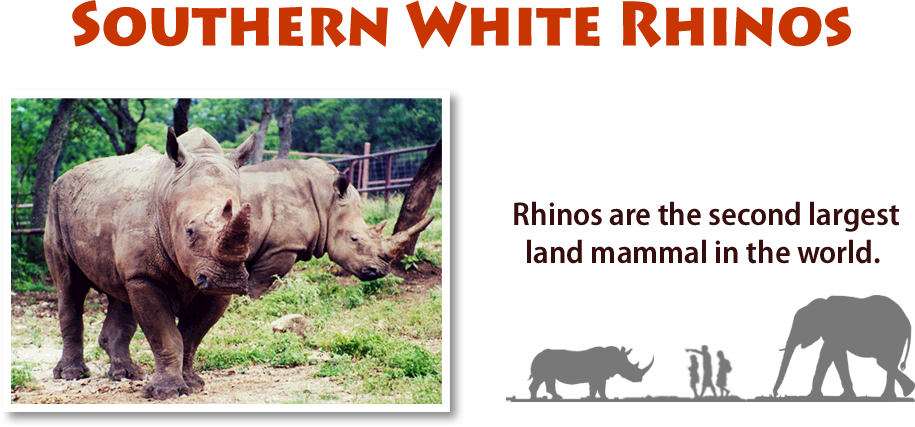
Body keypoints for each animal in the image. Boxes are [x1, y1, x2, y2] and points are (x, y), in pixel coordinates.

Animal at [44, 127, 256, 400]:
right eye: (189, 231)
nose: (227, 280)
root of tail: (65, 176)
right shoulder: (144, 276)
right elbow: (165, 336)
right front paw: (166, 392)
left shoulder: (211, 286)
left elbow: (190, 336)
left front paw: (192, 384)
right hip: (56, 205)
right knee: (69, 287)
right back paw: (71, 375)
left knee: (119, 294)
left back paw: (126, 374)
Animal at [240, 159, 435, 298]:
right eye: (354, 239)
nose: (380, 271)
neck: (328, 202)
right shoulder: (282, 247)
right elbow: (257, 284)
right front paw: (249, 305)